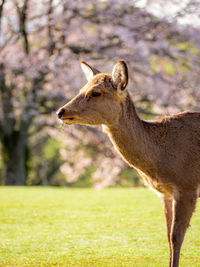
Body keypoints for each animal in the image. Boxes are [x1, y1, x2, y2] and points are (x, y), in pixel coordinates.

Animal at [56, 60, 200, 267]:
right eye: (81, 88)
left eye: (96, 92)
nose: (61, 111)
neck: (162, 156)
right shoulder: (165, 193)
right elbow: (168, 236)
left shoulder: (187, 185)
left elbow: (176, 237)